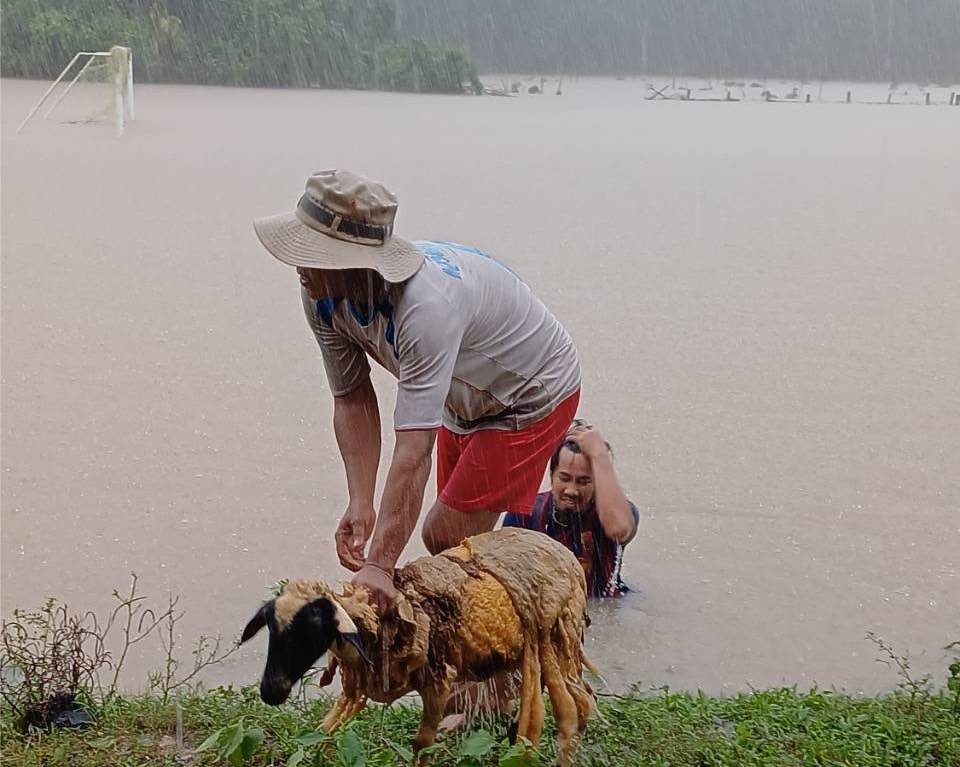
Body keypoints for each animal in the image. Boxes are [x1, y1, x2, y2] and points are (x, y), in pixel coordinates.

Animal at [240, 532, 596, 764]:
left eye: (312, 629)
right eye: (271, 628)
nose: (271, 691)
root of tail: (566, 554)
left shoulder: (438, 681)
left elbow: (421, 744)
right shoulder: (357, 685)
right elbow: (324, 731)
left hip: (553, 634)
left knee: (569, 713)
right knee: (582, 702)